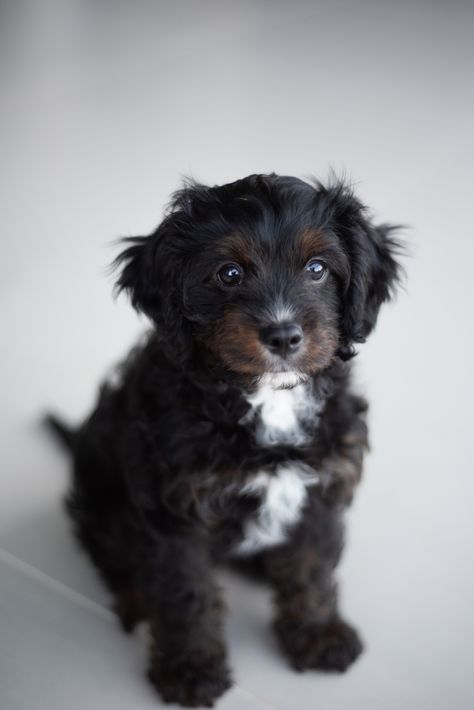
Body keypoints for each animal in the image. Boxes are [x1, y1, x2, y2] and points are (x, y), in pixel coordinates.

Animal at [48, 174, 402, 710]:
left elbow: (312, 570)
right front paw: (191, 670)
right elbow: (186, 593)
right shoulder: (178, 509)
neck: (267, 399)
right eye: (229, 273)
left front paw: (318, 637)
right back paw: (134, 601)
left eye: (318, 269)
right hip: (100, 488)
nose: (283, 335)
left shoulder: (322, 487)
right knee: (107, 547)